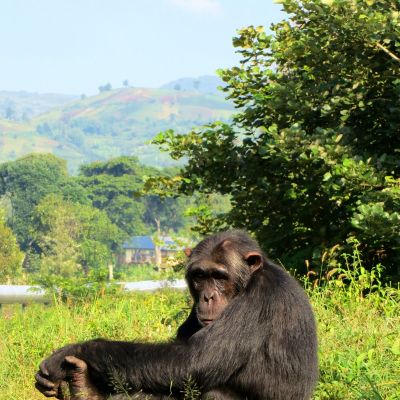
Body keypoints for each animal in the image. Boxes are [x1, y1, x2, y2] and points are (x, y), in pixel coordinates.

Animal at [34, 230, 318, 398]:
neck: (246, 282)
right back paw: (84, 388)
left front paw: (70, 352)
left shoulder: (256, 303)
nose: (208, 296)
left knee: (214, 391)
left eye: (220, 277)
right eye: (200, 276)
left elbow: (192, 361)